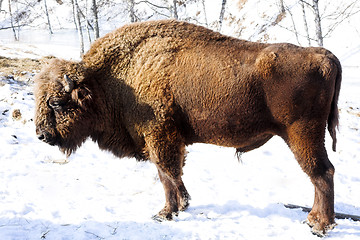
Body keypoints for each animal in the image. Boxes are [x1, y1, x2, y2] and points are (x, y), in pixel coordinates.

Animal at [35, 19, 342, 235]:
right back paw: (313, 220)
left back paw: (319, 225)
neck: (107, 80)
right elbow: (171, 175)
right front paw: (179, 206)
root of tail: (324, 56)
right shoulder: (169, 139)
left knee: (321, 173)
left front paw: (165, 213)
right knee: (320, 175)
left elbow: (167, 174)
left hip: (302, 134)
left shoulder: (160, 136)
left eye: (57, 103)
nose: (42, 135)